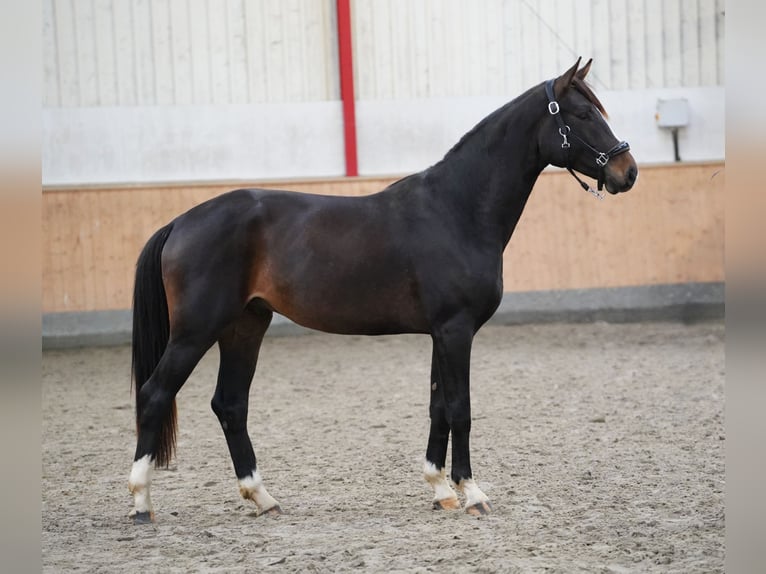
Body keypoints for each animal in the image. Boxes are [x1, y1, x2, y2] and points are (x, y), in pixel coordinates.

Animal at [128, 58, 637, 523]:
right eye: (582, 114)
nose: (627, 171)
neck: (456, 210)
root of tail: (180, 222)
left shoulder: (441, 333)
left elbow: (438, 407)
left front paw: (441, 490)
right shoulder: (456, 331)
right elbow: (461, 409)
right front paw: (472, 493)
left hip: (245, 326)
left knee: (230, 404)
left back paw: (263, 498)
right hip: (196, 331)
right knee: (155, 394)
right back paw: (141, 503)